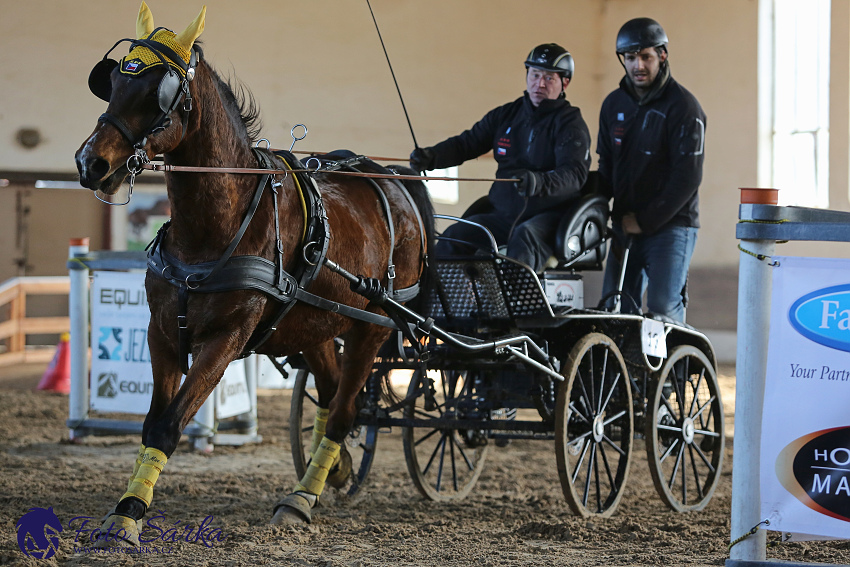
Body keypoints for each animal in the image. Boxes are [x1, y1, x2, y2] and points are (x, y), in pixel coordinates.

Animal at [73, 2, 434, 540]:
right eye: (113, 81)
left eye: (160, 93)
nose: (90, 162)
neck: (214, 228)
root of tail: (390, 180)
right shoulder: (163, 332)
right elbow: (153, 421)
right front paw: (124, 510)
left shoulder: (226, 338)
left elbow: (169, 424)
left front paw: (129, 514)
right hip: (314, 324)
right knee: (330, 397)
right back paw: (332, 472)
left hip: (372, 327)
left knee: (344, 411)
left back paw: (302, 498)